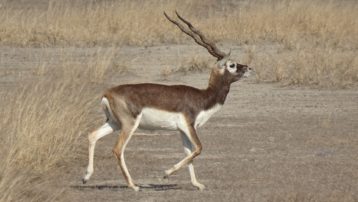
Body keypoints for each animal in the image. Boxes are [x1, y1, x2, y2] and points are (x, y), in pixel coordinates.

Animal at [83, 11, 252, 191]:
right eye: (232, 65)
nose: (249, 68)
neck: (204, 97)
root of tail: (107, 93)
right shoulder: (189, 125)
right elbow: (199, 148)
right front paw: (166, 173)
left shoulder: (182, 130)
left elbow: (189, 153)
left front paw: (197, 184)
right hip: (129, 125)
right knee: (117, 149)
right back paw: (133, 186)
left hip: (114, 123)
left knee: (92, 135)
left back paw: (86, 177)